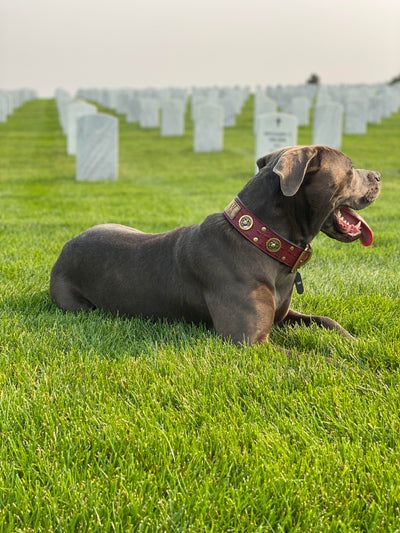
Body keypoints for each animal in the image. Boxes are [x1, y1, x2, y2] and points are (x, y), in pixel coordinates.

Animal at [50, 144, 382, 344]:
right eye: (350, 169)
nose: (378, 175)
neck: (262, 241)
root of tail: (65, 247)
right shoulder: (249, 341)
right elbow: (314, 360)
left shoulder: (283, 316)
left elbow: (327, 321)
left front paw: (358, 344)